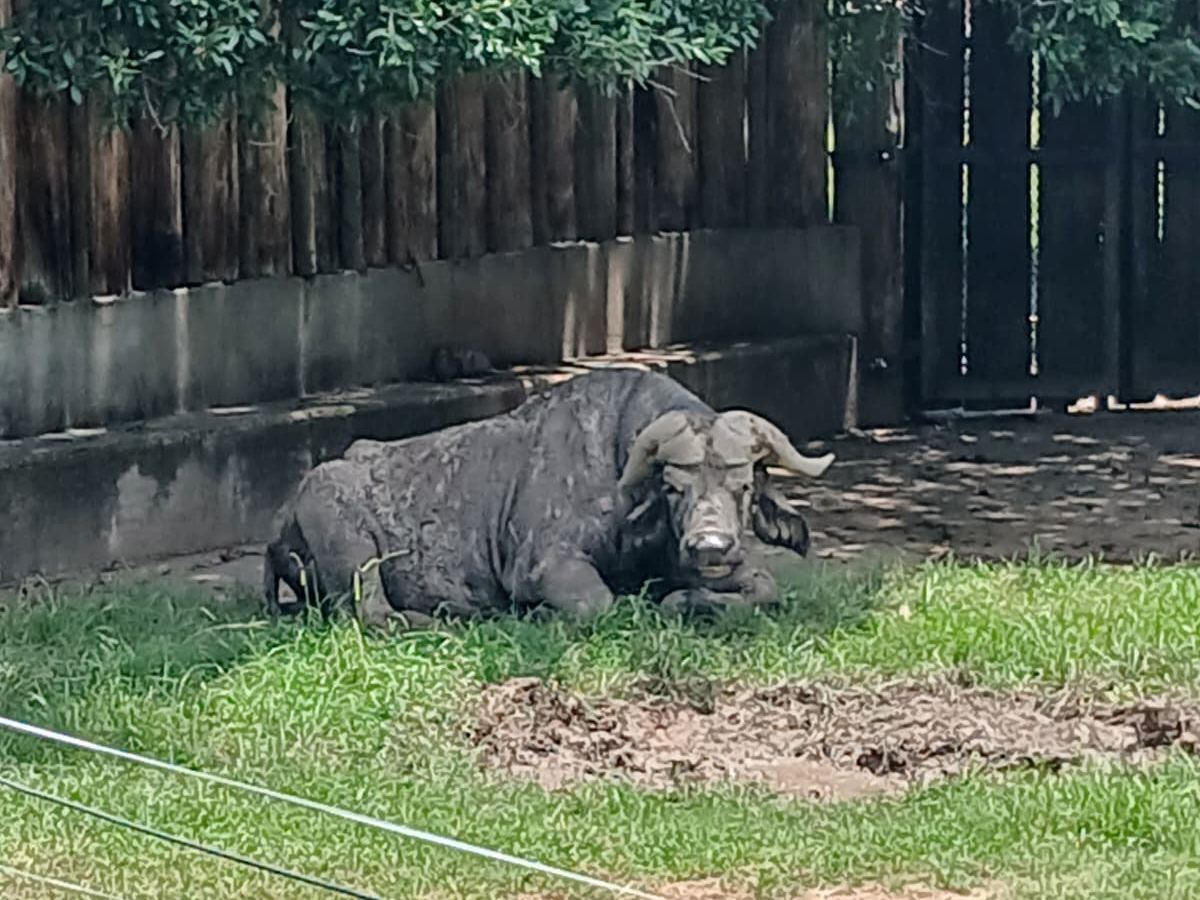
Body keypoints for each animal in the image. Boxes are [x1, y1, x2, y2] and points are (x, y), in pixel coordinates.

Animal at [263, 369, 833, 626]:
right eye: (674, 487)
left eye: (744, 486)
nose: (710, 546)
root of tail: (284, 518)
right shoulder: (545, 566)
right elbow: (602, 605)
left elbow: (765, 587)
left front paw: (690, 601)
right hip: (347, 534)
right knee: (373, 613)